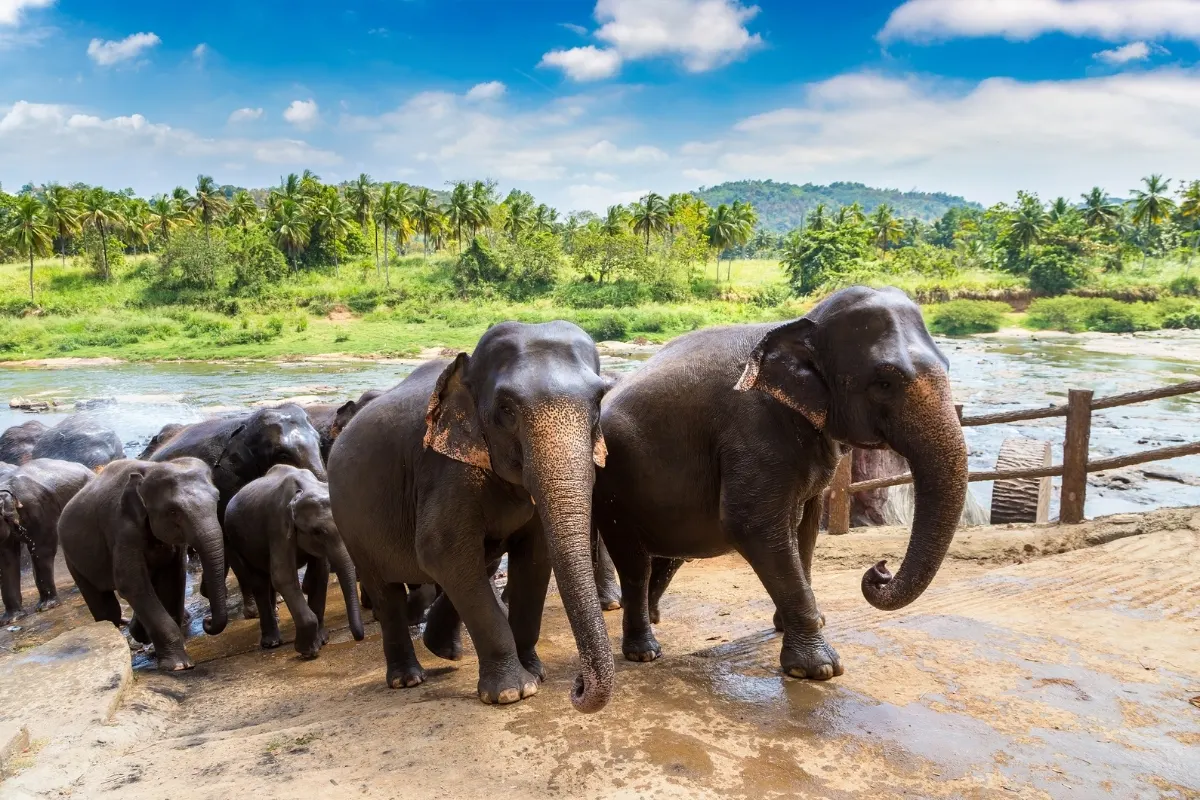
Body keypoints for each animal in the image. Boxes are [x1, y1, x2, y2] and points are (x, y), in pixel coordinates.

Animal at [58, 458, 228, 671]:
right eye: (173, 511)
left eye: (218, 499)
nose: (207, 621)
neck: (148, 469)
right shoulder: (122, 529)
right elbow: (132, 584)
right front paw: (179, 666)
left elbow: (173, 578)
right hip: (73, 559)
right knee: (107, 608)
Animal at [150, 404, 326, 620]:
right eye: (283, 456)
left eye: (320, 443)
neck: (245, 428)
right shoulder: (225, 484)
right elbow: (233, 544)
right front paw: (254, 612)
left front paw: (277, 602)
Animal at [224, 465, 365, 657]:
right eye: (316, 531)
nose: (359, 637)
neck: (303, 490)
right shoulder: (278, 525)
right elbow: (283, 576)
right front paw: (308, 651)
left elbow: (320, 574)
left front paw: (323, 639)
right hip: (238, 543)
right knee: (258, 581)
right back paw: (271, 642)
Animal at [328, 320, 615, 711]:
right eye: (507, 409)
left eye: (599, 402)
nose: (578, 685)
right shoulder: (444, 468)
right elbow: (441, 551)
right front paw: (513, 692)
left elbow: (535, 556)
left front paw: (534, 671)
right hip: (350, 522)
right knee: (386, 590)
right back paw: (407, 679)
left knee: (481, 563)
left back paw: (443, 649)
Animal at [593, 286, 968, 680]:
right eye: (884, 383)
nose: (880, 570)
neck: (801, 323)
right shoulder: (751, 430)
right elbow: (751, 525)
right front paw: (818, 669)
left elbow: (806, 527)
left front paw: (795, 627)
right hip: (613, 490)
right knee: (635, 563)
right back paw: (644, 652)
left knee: (671, 555)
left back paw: (653, 620)